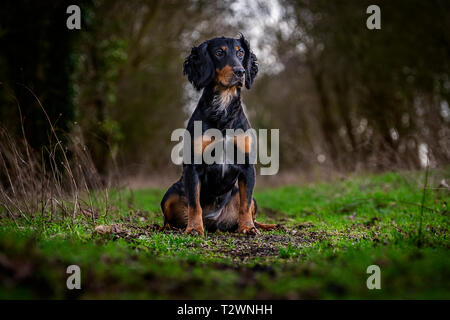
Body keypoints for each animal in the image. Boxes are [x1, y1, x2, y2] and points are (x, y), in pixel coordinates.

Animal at [160, 34, 276, 235]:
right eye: (219, 53)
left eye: (240, 52)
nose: (240, 71)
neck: (223, 109)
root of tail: (213, 222)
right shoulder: (193, 166)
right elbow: (194, 204)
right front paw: (194, 229)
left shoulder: (247, 166)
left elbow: (245, 204)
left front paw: (247, 228)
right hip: (170, 193)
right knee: (169, 218)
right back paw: (170, 228)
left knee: (250, 208)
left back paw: (262, 225)